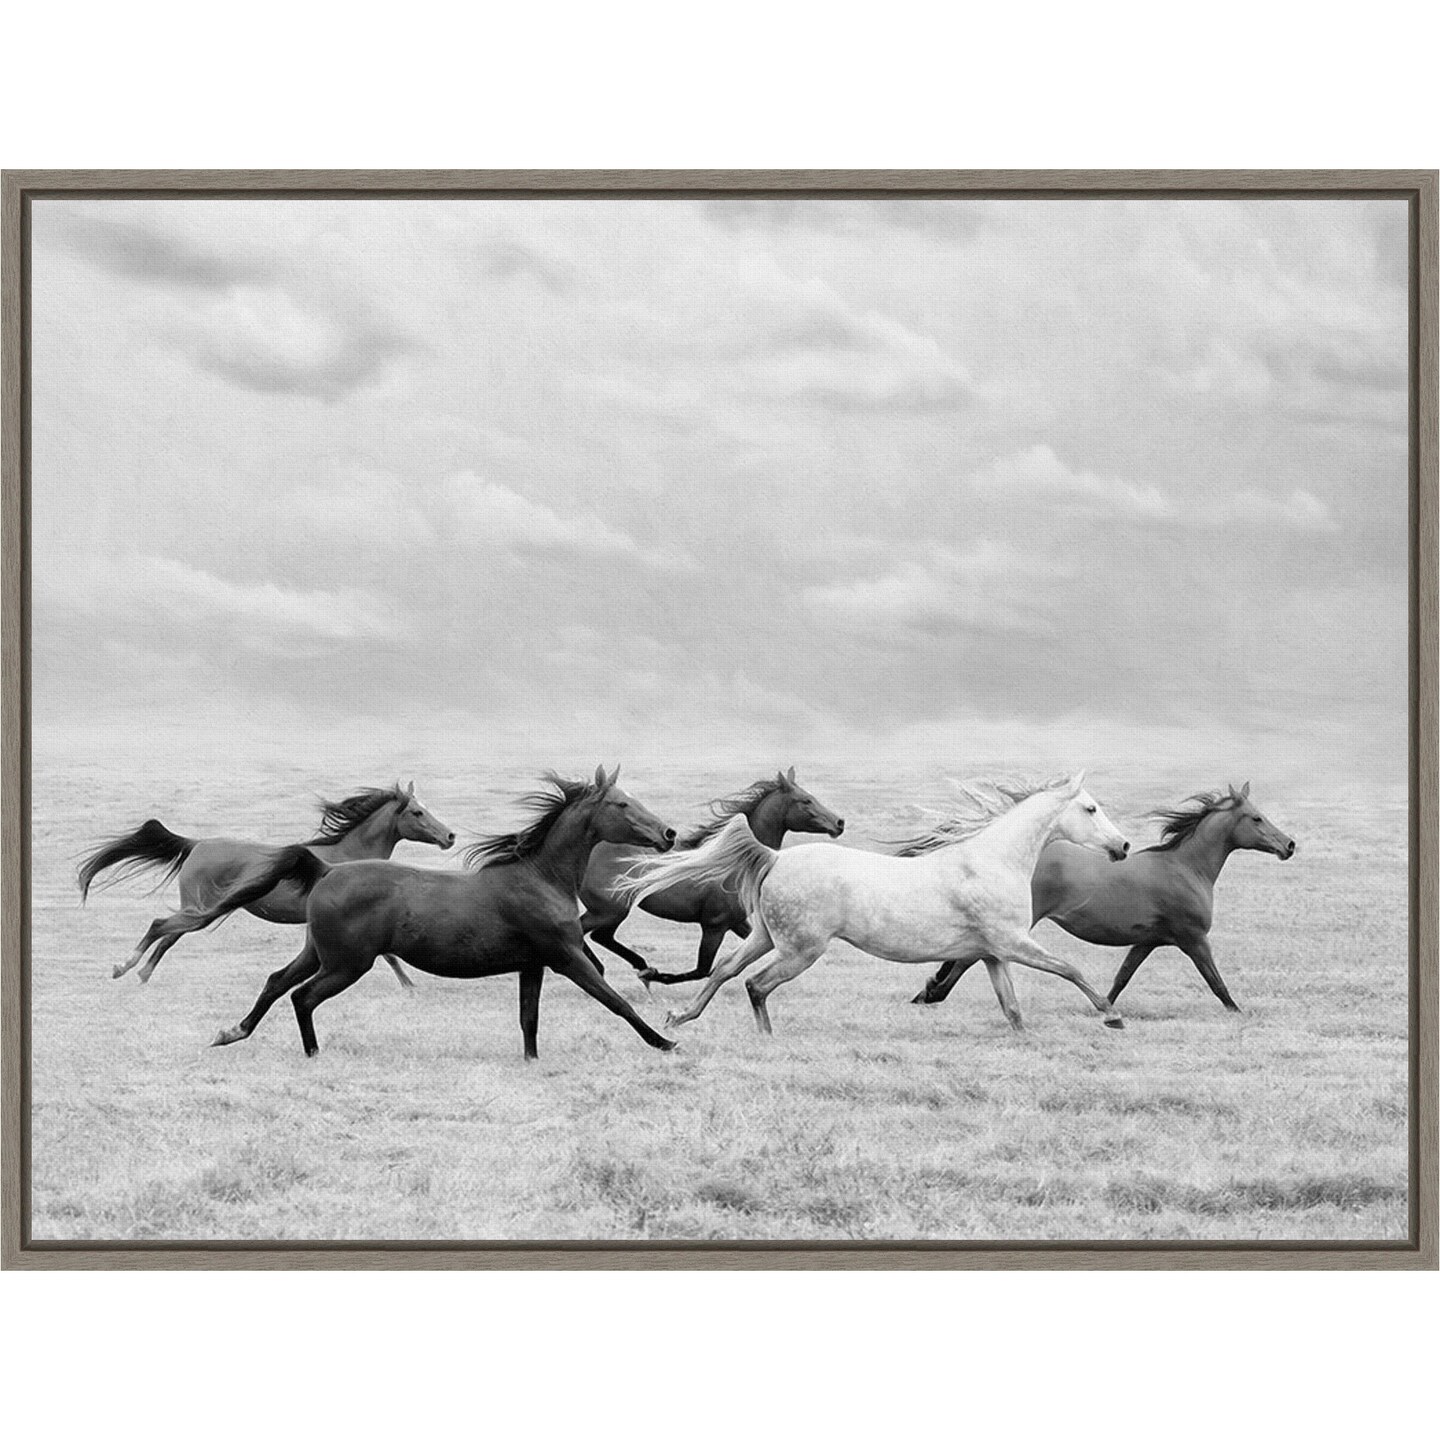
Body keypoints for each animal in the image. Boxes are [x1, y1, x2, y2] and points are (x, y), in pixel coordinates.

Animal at [78, 782, 455, 988]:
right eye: (418, 813)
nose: (450, 836)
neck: (346, 854)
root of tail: (197, 845)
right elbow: (389, 954)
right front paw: (410, 986)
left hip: (200, 908)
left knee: (171, 933)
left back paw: (142, 974)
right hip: (201, 906)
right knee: (162, 925)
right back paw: (124, 967)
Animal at [200, 767, 680, 1062]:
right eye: (621, 804)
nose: (669, 833)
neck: (539, 877)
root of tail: (326, 870)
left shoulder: (534, 965)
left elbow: (528, 1018)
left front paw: (531, 1060)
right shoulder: (567, 957)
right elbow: (615, 1001)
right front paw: (665, 1040)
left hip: (320, 953)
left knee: (277, 981)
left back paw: (232, 1032)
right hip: (346, 963)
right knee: (303, 996)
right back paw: (313, 1053)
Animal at [577, 767, 845, 986]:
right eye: (806, 800)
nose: (839, 822)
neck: (738, 861)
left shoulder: (737, 922)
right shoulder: (714, 925)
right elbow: (703, 970)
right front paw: (656, 976)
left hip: (615, 910)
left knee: (601, 936)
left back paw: (632, 965)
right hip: (609, 909)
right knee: (585, 931)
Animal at [619, 772, 1131, 1036]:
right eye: (1090, 808)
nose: (1123, 846)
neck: (990, 861)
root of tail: (775, 857)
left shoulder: (991, 954)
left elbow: (1013, 1010)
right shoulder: (1012, 943)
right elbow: (1070, 969)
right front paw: (1112, 1015)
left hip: (766, 936)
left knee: (725, 970)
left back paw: (680, 1016)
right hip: (802, 949)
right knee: (755, 984)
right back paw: (766, 1038)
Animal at [910, 782, 1295, 1012]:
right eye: (1256, 818)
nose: (1289, 845)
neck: (1186, 867)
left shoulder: (1149, 940)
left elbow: (1121, 978)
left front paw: (1103, 1008)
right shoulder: (1193, 939)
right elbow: (1217, 983)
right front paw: (1239, 1013)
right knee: (966, 960)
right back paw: (930, 995)